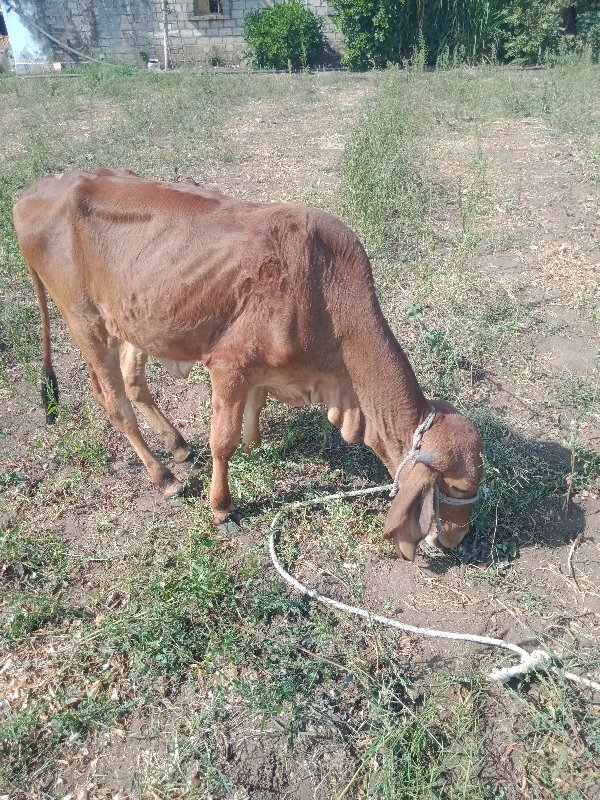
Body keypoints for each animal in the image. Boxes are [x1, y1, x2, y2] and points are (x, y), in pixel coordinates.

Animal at [14, 168, 482, 560]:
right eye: (455, 485)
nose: (458, 539)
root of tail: (32, 194)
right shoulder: (229, 368)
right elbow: (222, 441)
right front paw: (222, 508)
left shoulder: (260, 372)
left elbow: (255, 409)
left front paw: (256, 447)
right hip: (85, 322)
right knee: (114, 401)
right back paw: (164, 477)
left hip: (135, 322)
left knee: (134, 383)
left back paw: (178, 445)